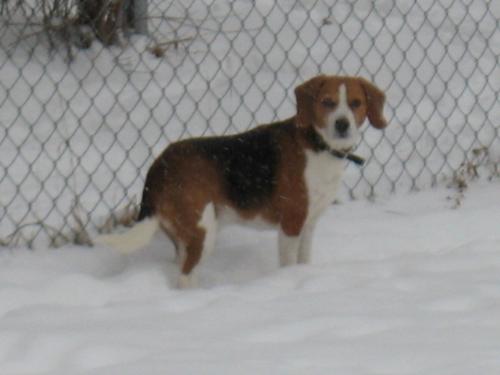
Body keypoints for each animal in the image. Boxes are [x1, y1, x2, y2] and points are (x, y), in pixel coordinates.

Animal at [96, 75, 386, 290]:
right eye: (327, 102)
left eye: (356, 103)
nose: (342, 124)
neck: (319, 144)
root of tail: (159, 164)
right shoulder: (291, 223)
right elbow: (289, 263)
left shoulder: (309, 223)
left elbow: (304, 260)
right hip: (203, 231)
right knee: (185, 277)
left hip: (183, 233)